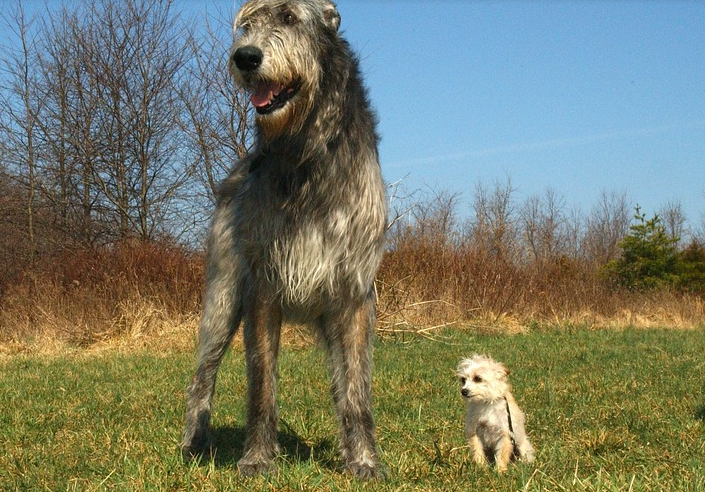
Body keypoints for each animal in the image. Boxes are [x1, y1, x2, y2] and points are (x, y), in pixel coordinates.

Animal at [182, 0, 388, 478]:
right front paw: (257, 458)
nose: (246, 57)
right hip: (222, 297)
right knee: (203, 374)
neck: (305, 152)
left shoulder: (354, 294)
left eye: (290, 18)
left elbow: (356, 391)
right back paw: (195, 441)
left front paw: (364, 459)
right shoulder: (262, 288)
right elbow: (261, 385)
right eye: (247, 26)